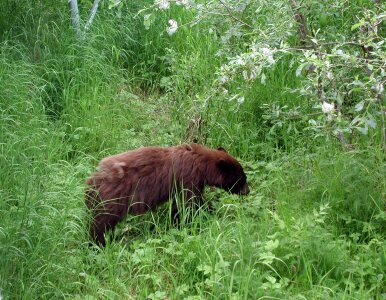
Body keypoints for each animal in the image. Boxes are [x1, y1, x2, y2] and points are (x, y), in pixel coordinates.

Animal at [85, 144, 249, 246]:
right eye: (242, 178)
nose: (248, 191)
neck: (201, 163)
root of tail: (93, 179)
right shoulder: (187, 179)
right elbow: (189, 204)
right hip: (112, 200)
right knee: (100, 224)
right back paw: (98, 243)